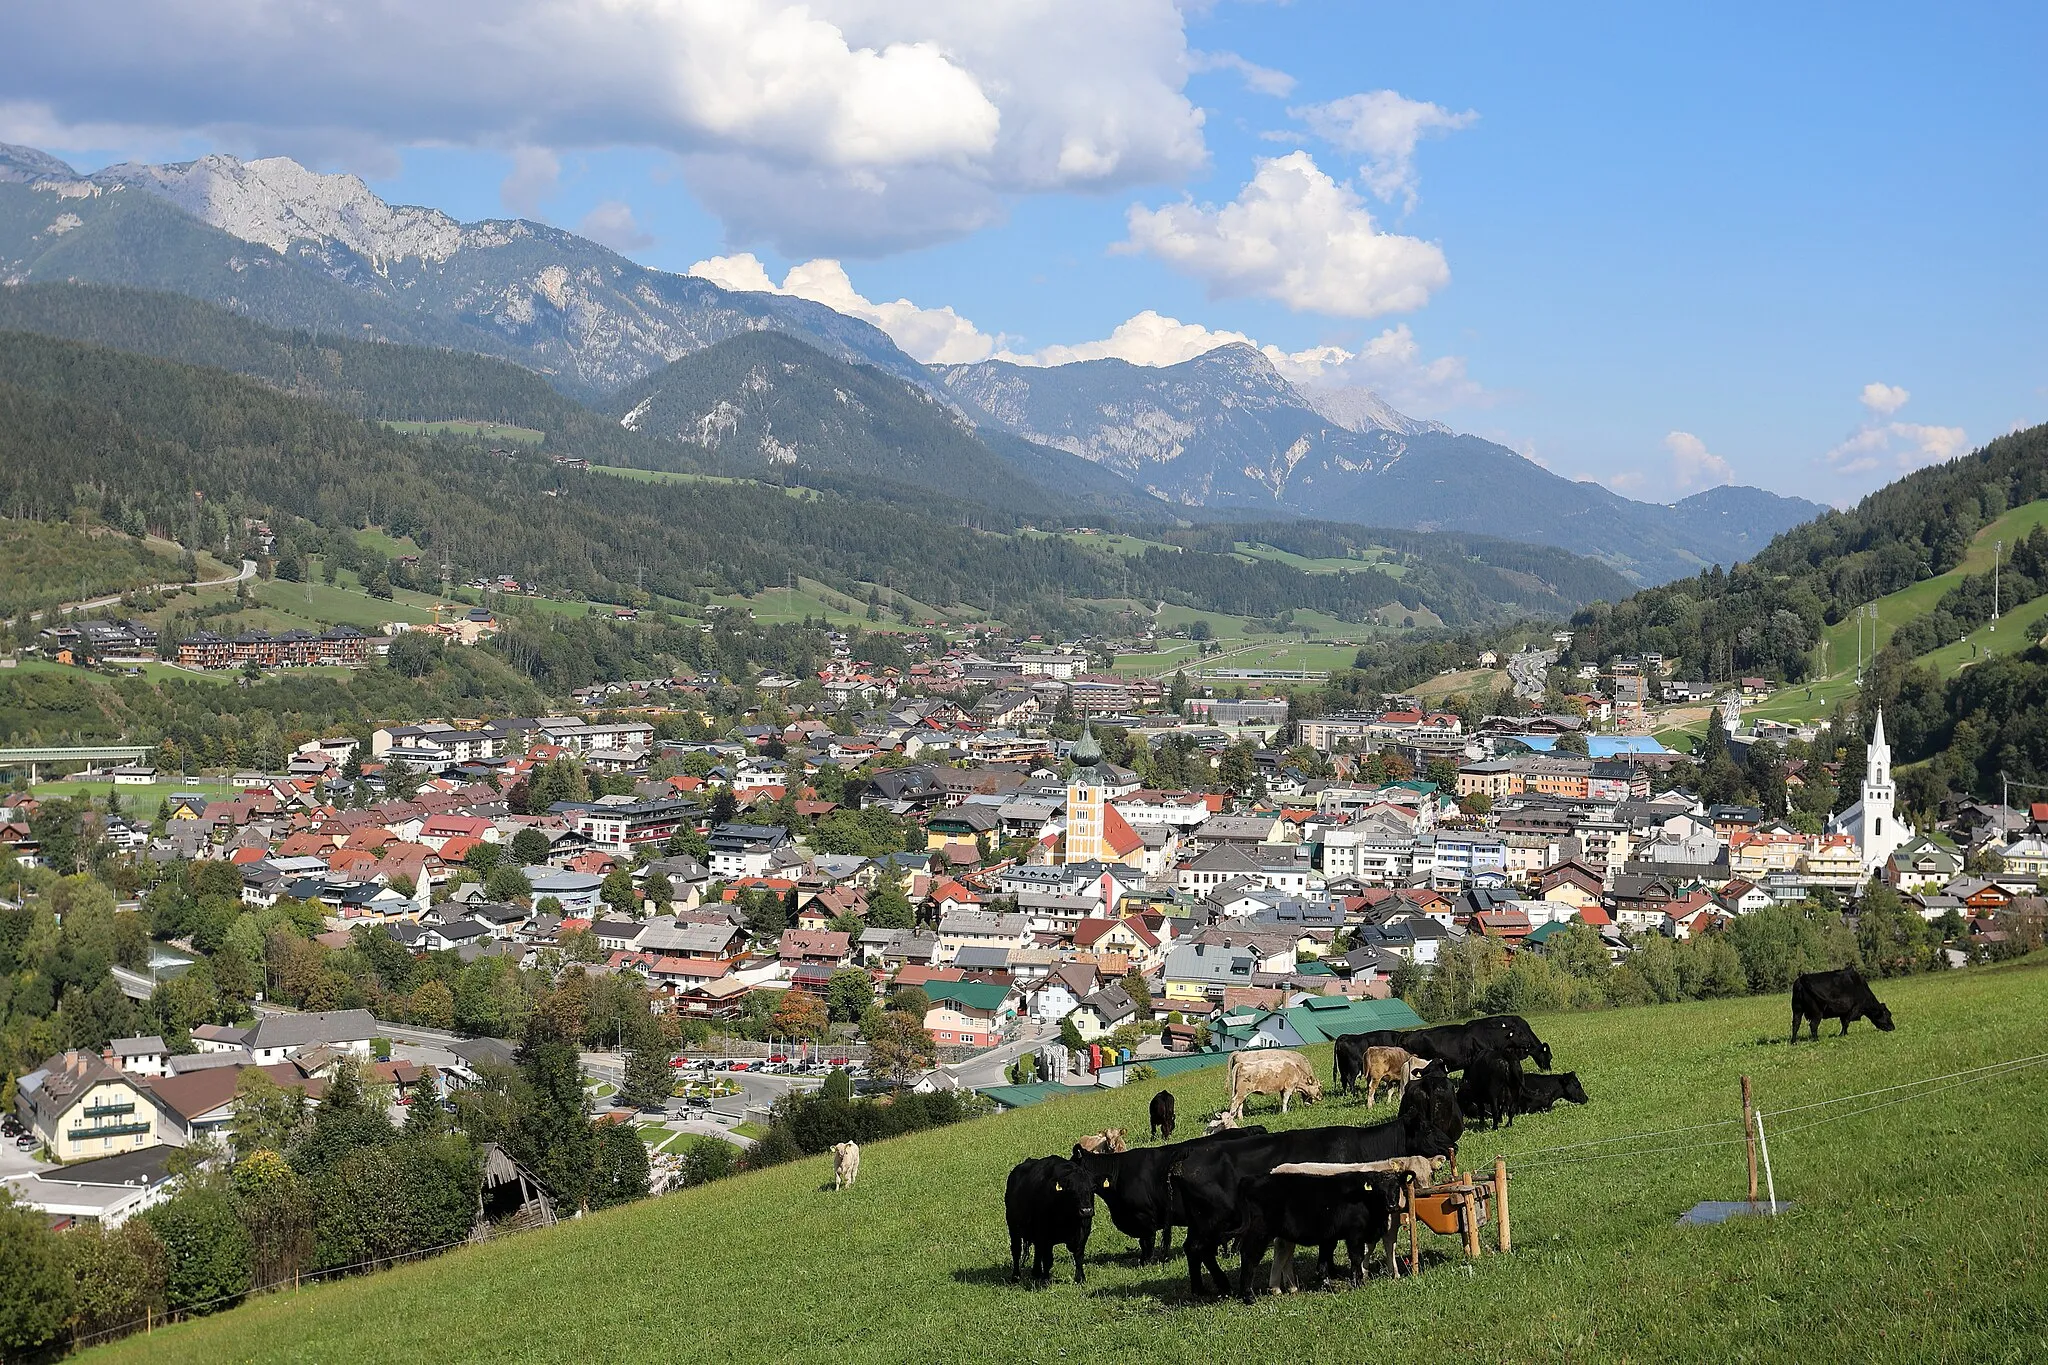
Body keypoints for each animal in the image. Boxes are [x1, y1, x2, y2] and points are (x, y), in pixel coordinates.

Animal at [1003, 1154, 1097, 1293]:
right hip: (1013, 1227)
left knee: (1037, 1250)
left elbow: (1079, 1256)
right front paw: (1046, 1280)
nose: (1086, 1210)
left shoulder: (1084, 1232)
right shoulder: (1046, 1235)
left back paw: (1036, 1272)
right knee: (1016, 1251)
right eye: (1071, 1190)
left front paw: (1080, 1279)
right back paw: (1016, 1277)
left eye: (1092, 1188)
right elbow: (1048, 1259)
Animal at [1228, 1170, 1409, 1309]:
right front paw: (1358, 1283)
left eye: (1397, 1187)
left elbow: (1323, 1262)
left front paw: (1329, 1284)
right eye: (1379, 1190)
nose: (1392, 1205)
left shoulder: (1329, 1237)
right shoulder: (1354, 1234)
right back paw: (1248, 1296)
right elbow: (1356, 1258)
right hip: (1259, 1232)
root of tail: (1252, 1179)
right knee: (1250, 1257)